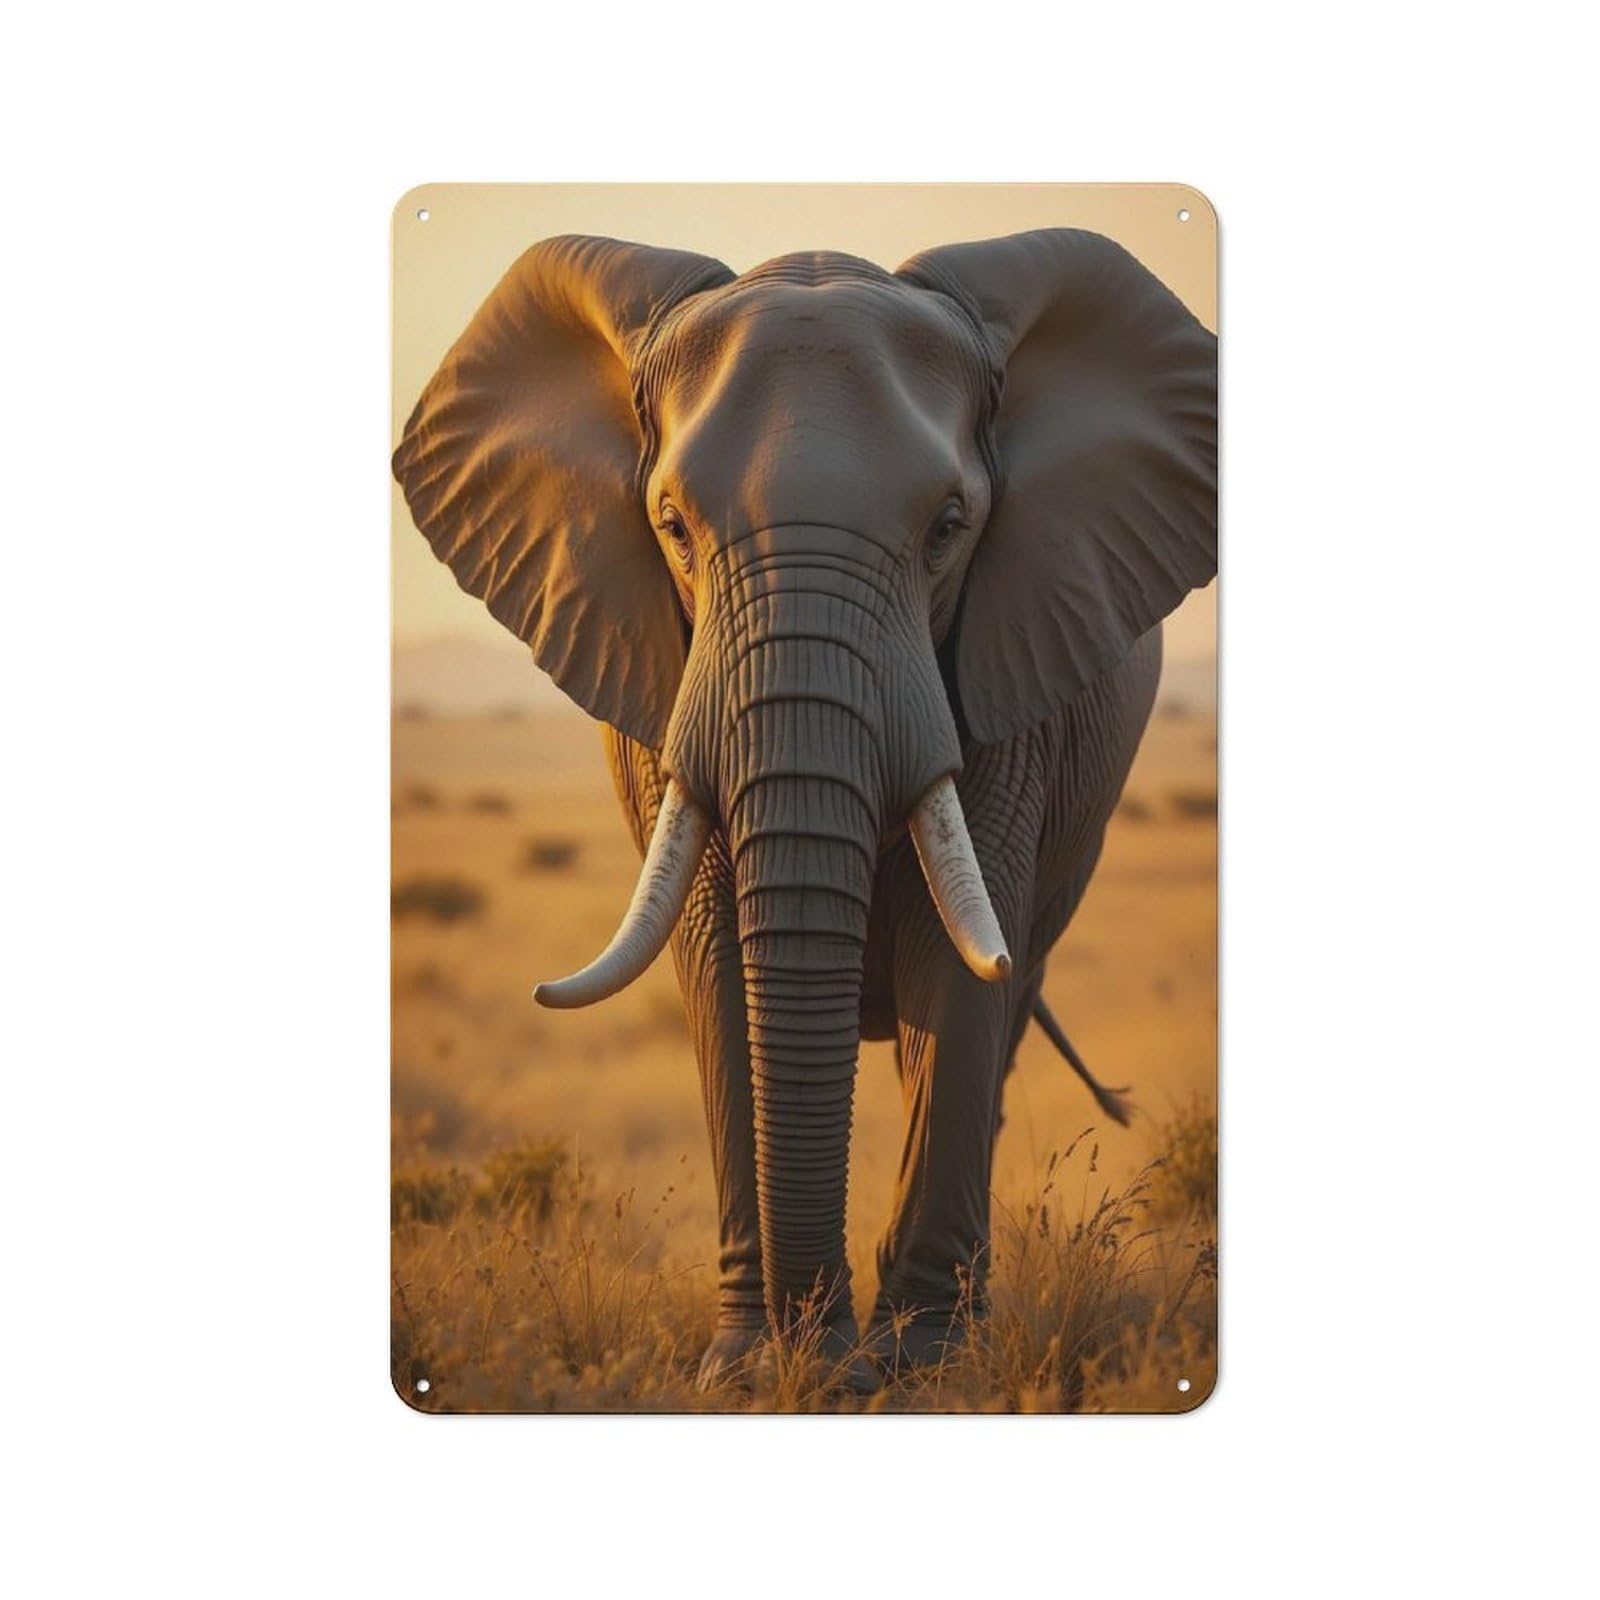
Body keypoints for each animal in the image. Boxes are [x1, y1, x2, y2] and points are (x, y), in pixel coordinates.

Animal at [393, 228, 1217, 1390]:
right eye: (671, 525)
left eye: (949, 528)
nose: (819, 1365)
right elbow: (714, 956)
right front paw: (749, 1375)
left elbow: (952, 959)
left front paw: (917, 1379)